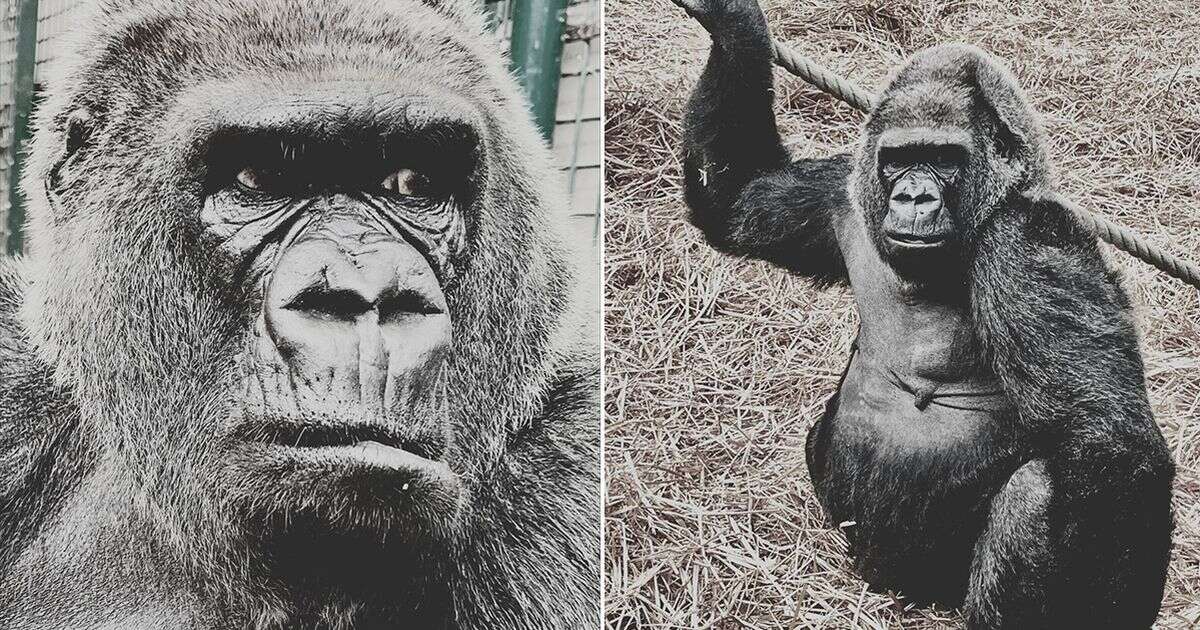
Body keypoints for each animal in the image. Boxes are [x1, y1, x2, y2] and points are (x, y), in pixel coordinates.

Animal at [676, 0, 1171, 624]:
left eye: (942, 158)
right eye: (899, 160)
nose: (914, 195)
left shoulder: (1032, 237)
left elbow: (1109, 443)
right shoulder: (844, 188)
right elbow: (737, 198)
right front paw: (733, 23)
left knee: (1039, 489)